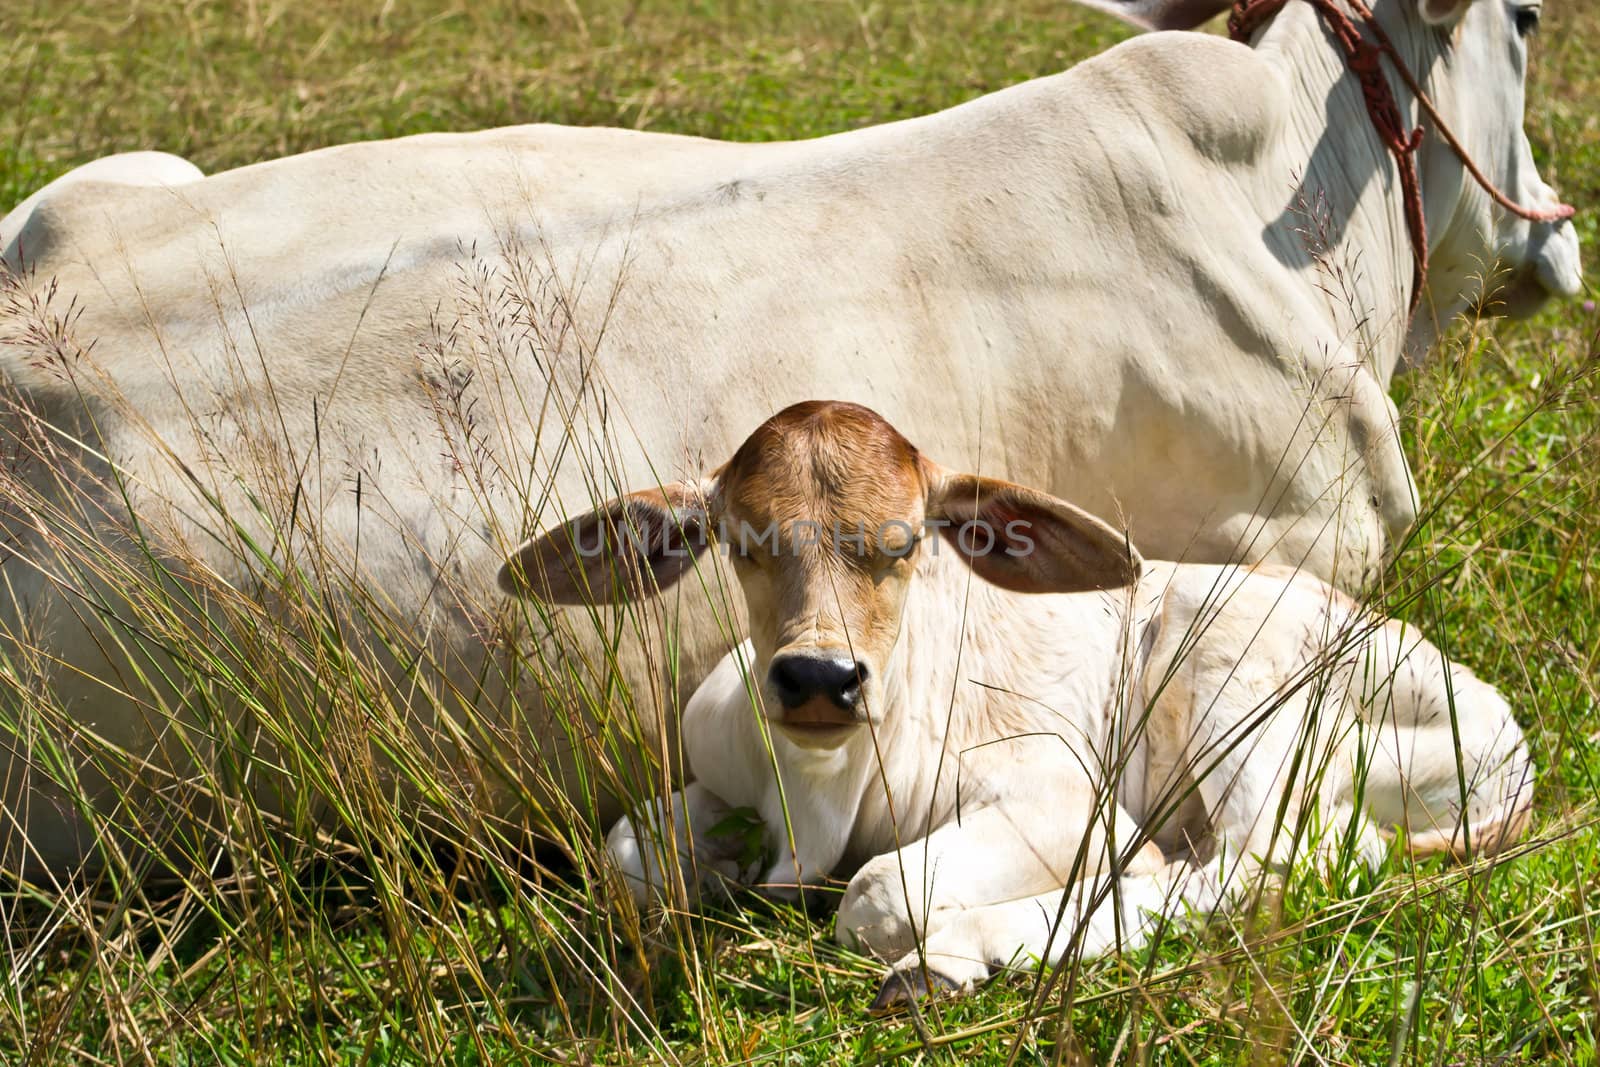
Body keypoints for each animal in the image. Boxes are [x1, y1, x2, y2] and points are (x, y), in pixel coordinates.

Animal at [496, 399, 1523, 1011]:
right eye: (742, 542)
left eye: (907, 542)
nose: (820, 678)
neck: (825, 792)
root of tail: (1510, 742)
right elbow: (624, 851)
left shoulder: (1058, 798)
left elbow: (875, 893)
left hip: (1236, 674)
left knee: (1259, 867)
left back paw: (957, 955)